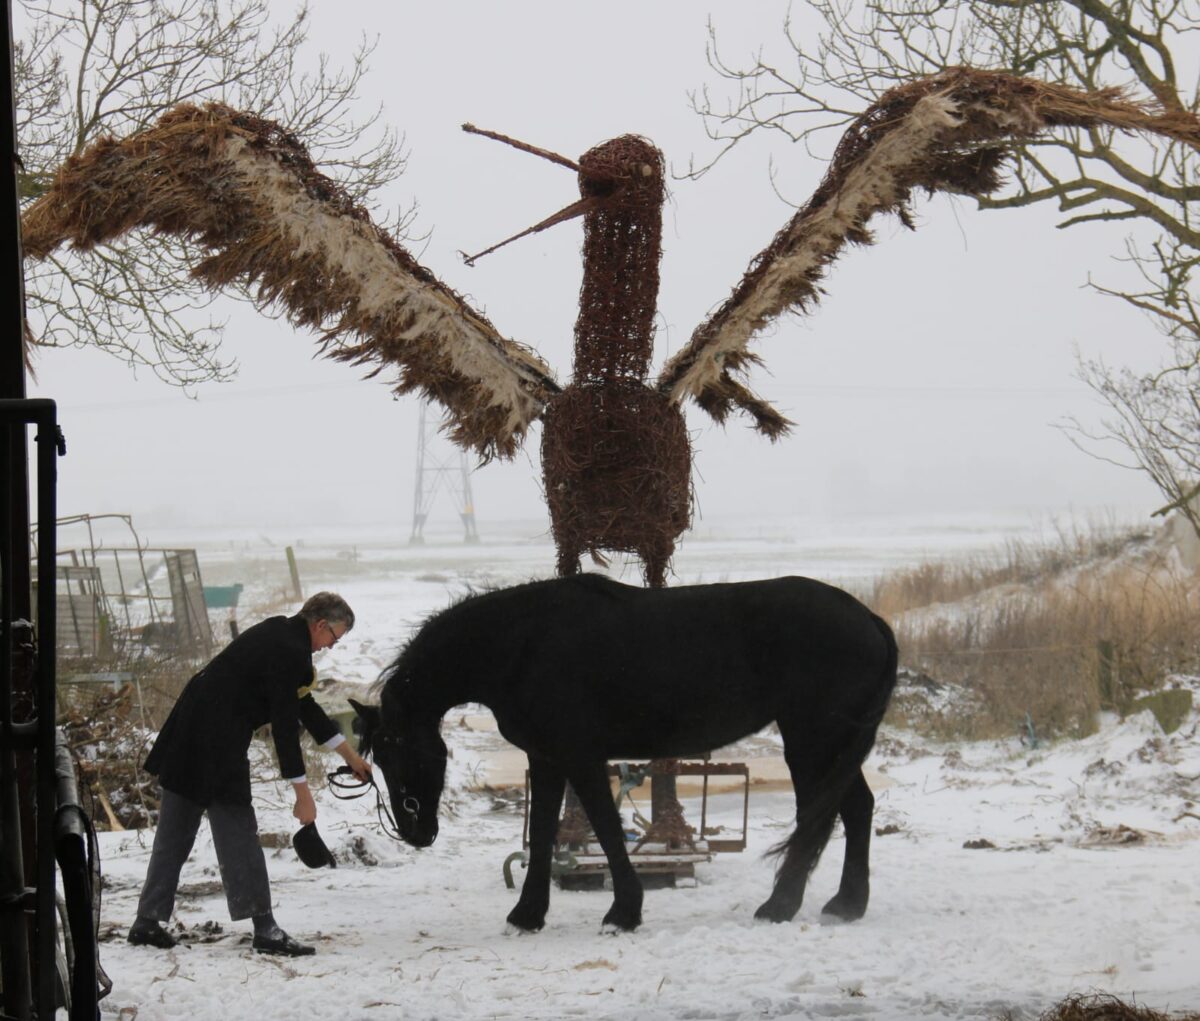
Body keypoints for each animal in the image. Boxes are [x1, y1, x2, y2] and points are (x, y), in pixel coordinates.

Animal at [350, 575, 897, 935]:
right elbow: (544, 833)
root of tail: (870, 619)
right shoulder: (546, 759)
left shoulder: (579, 756)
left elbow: (607, 829)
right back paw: (846, 905)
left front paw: (623, 913)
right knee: (855, 809)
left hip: (814, 741)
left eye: (400, 752)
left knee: (824, 816)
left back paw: (781, 906)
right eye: (381, 758)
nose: (415, 832)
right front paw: (528, 916)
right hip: (828, 746)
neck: (522, 645)